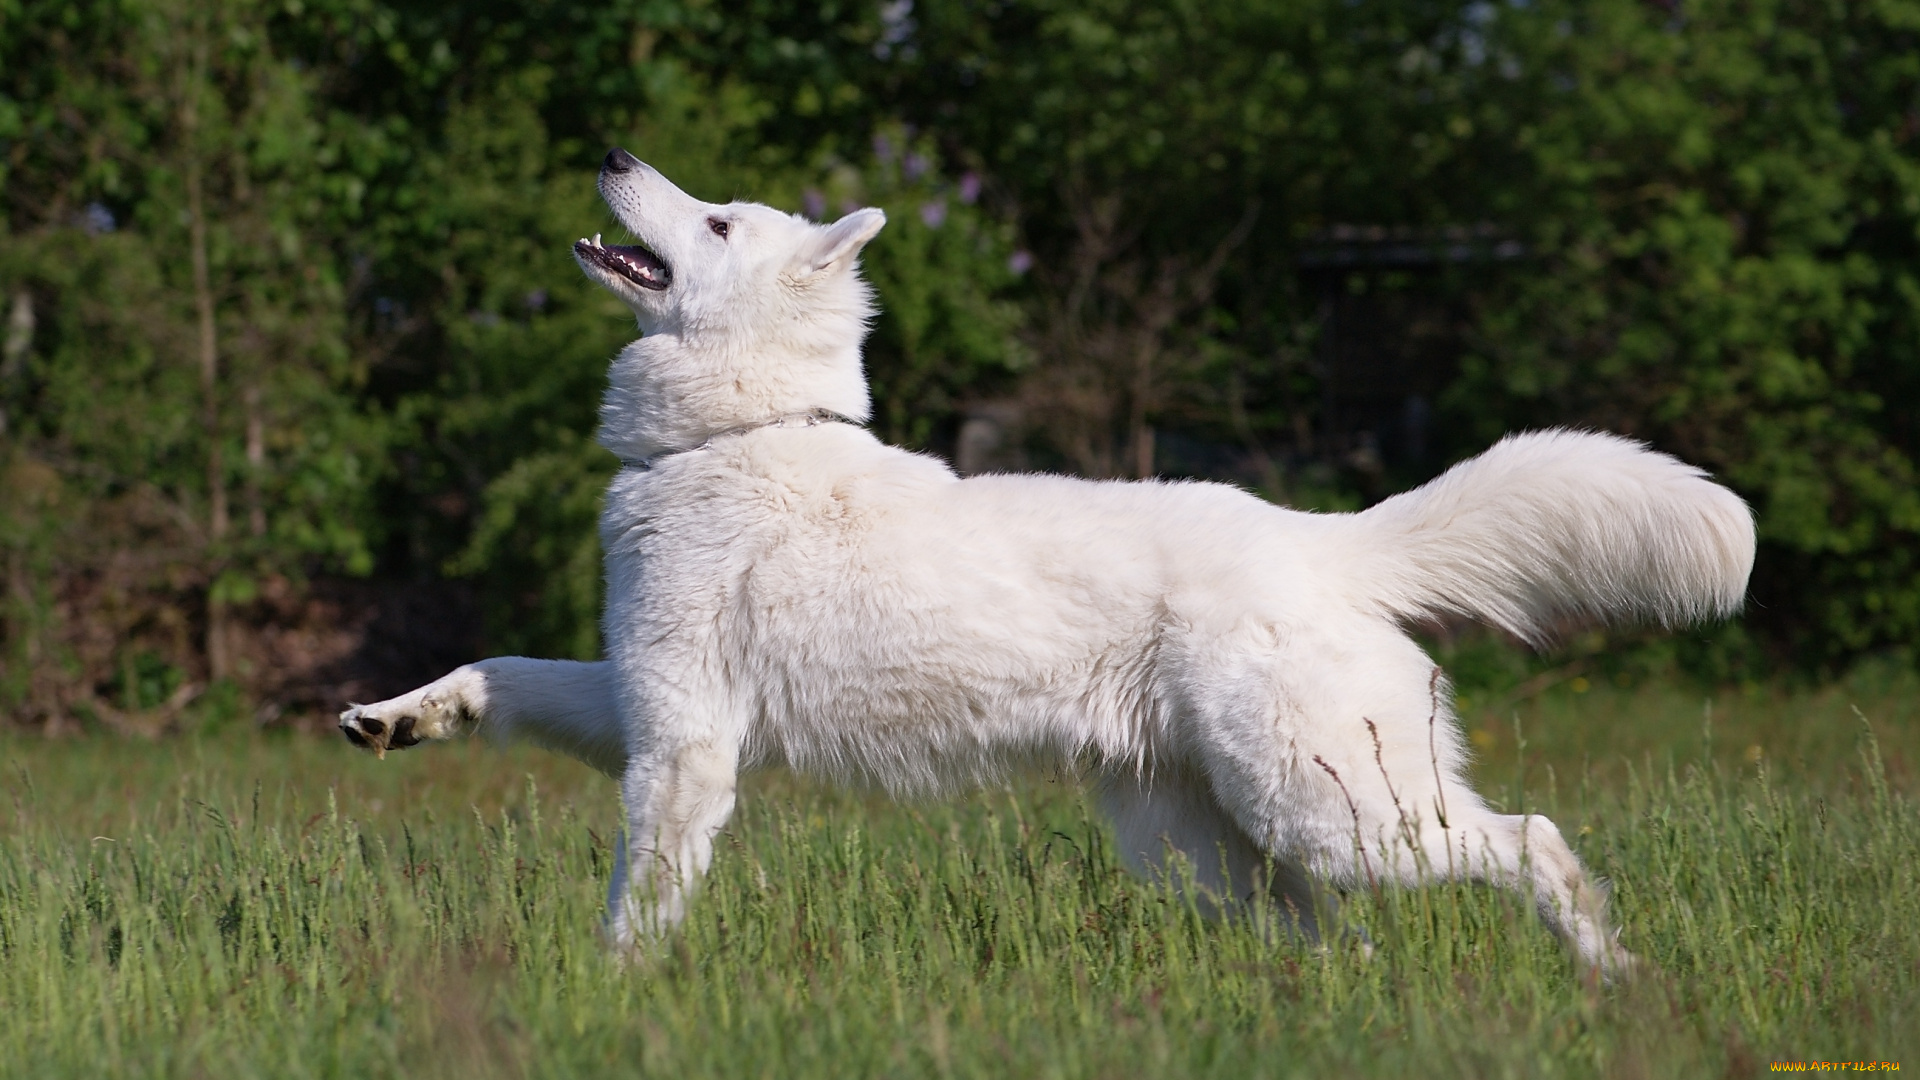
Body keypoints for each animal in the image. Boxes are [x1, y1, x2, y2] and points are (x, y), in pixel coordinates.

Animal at [341, 147, 1758, 972]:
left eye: (721, 220)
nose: (611, 151)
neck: (738, 433)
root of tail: (1330, 539)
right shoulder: (629, 696)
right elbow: (502, 671)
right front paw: (398, 718)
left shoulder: (684, 743)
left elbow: (641, 895)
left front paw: (616, 995)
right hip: (1213, 848)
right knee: (1333, 938)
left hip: (1346, 817)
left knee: (1534, 844)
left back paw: (1612, 980)